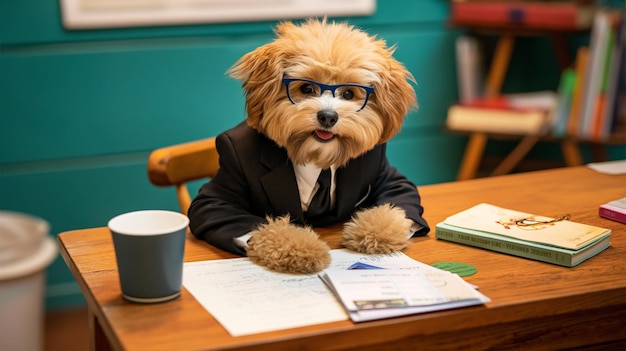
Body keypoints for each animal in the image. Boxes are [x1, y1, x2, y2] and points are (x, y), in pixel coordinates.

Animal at [188, 18, 426, 276]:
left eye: (349, 93)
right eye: (307, 89)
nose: (328, 117)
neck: (316, 158)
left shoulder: (386, 171)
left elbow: (399, 204)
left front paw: (376, 233)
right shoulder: (218, 193)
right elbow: (258, 226)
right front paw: (303, 249)